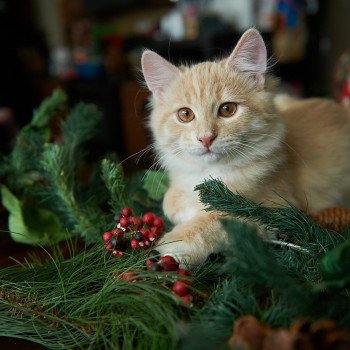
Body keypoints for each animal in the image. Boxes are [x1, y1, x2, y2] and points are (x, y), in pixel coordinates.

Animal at [141, 28, 350, 264]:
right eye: (185, 114)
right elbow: (170, 201)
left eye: (227, 109)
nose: (206, 138)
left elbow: (213, 221)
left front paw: (176, 242)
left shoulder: (277, 211)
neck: (209, 174)